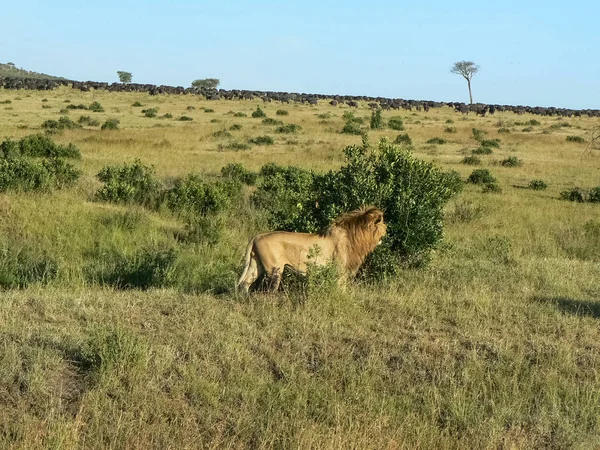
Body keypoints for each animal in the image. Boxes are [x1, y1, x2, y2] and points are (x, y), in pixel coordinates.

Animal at [237, 206, 386, 294]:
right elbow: (341, 290)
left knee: (245, 283)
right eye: (383, 225)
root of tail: (257, 236)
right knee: (269, 291)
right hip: (275, 269)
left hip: (256, 265)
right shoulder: (340, 271)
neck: (355, 237)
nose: (386, 232)